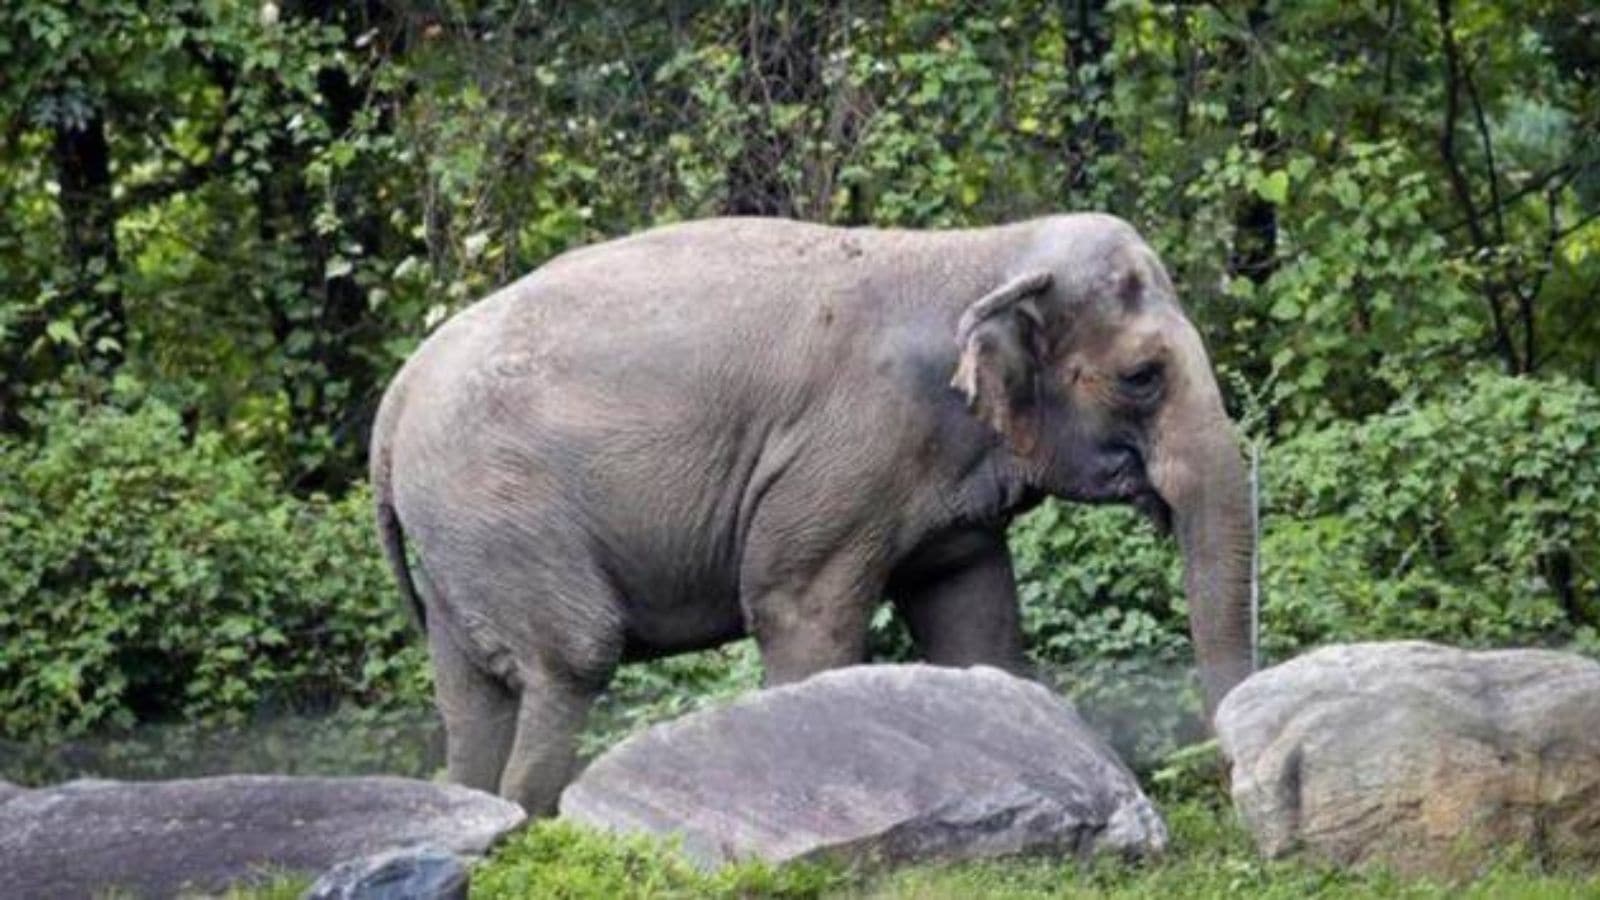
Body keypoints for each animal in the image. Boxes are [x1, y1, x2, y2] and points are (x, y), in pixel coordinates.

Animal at [369, 214, 1252, 814]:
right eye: (1142, 376)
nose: (1220, 777)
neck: (982, 249)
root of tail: (396, 399)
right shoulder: (846, 455)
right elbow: (802, 614)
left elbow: (976, 625)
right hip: (500, 508)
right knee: (572, 659)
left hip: (458, 540)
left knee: (470, 697)